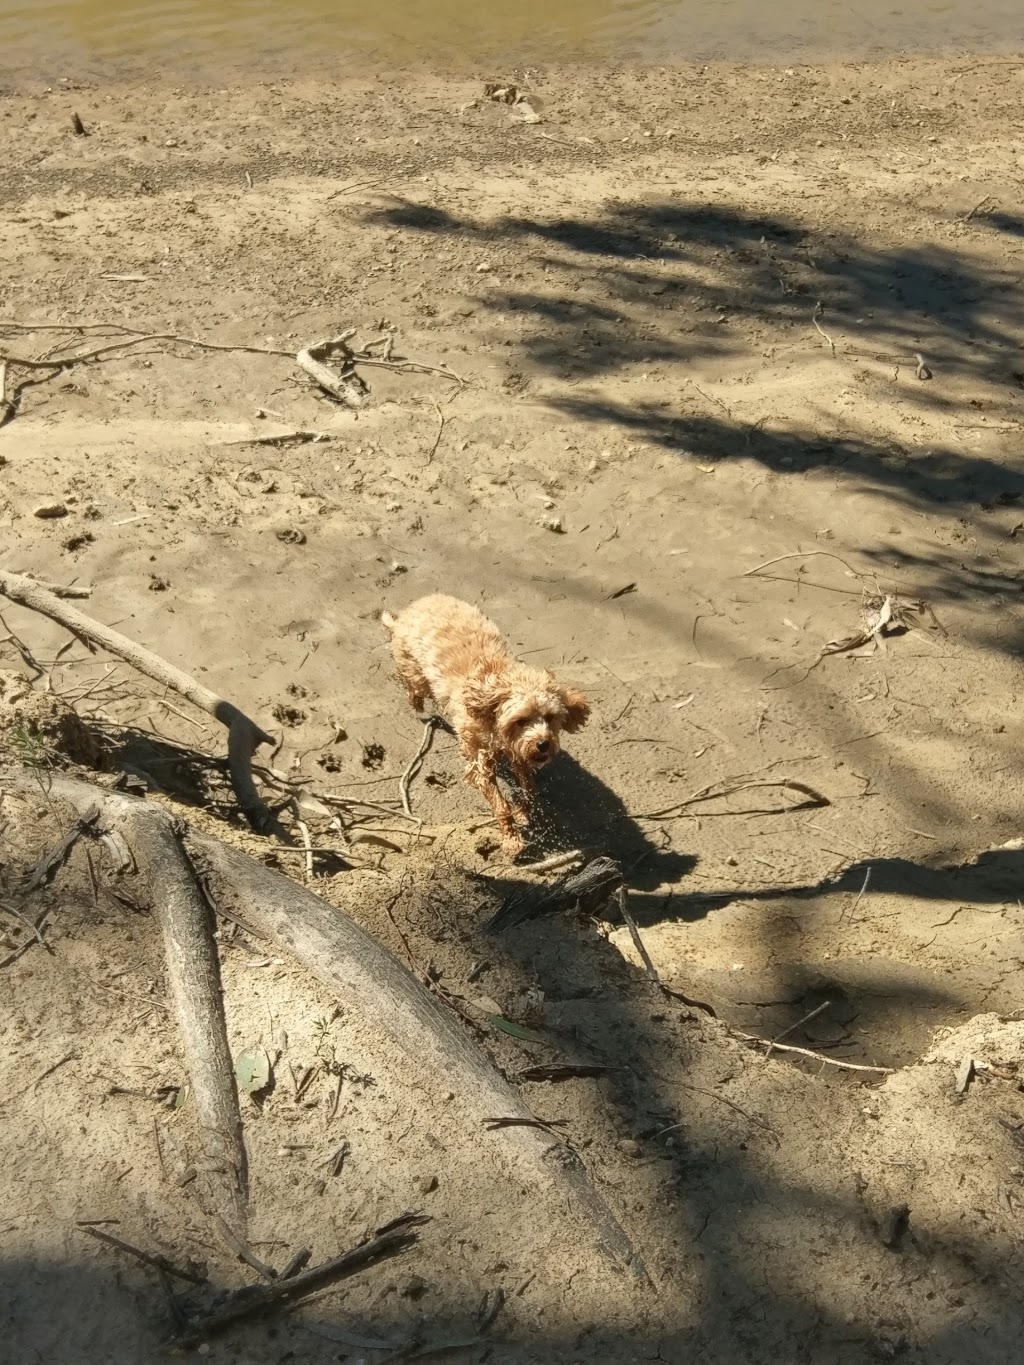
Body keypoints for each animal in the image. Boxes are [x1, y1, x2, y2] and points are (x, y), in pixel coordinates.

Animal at [382, 592, 592, 846]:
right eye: (521, 720)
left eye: (550, 717)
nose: (543, 744)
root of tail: (416, 606)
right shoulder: (479, 763)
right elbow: (500, 804)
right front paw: (511, 839)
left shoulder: (518, 753)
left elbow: (530, 788)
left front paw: (523, 811)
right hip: (416, 673)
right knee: (413, 688)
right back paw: (419, 708)